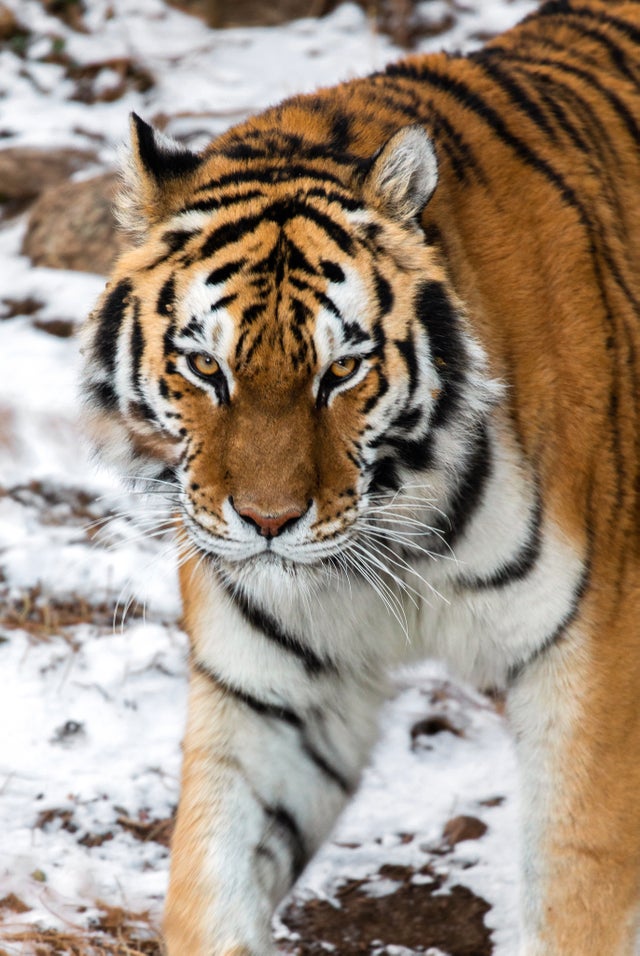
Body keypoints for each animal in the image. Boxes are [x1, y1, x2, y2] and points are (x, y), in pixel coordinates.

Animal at [80, 0, 640, 952]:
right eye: (204, 367)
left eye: (340, 371)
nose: (269, 521)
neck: (397, 528)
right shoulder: (273, 695)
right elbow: (211, 886)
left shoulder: (594, 659)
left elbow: (577, 887)